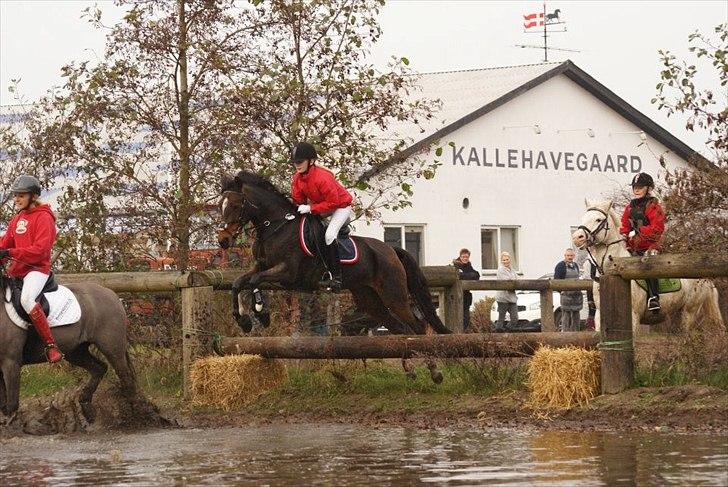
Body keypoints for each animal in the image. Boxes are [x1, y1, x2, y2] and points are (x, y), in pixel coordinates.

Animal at [0, 270, 136, 428]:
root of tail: (112, 294)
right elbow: (4, 402)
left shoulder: (11, 362)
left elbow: (12, 402)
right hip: (76, 352)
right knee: (99, 368)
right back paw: (86, 407)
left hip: (112, 348)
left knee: (125, 375)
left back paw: (138, 415)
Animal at [216, 170, 450, 342]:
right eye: (220, 206)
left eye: (235, 205)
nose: (223, 240)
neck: (276, 227)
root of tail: (392, 251)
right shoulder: (262, 266)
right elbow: (238, 283)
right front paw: (244, 320)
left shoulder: (288, 273)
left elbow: (254, 281)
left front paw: (261, 314)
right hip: (369, 298)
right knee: (400, 327)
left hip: (394, 295)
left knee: (418, 325)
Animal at [576, 199, 724, 336]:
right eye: (583, 218)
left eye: (598, 219)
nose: (577, 237)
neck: (614, 269)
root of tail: (707, 279)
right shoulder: (599, 316)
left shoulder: (633, 316)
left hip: (689, 312)